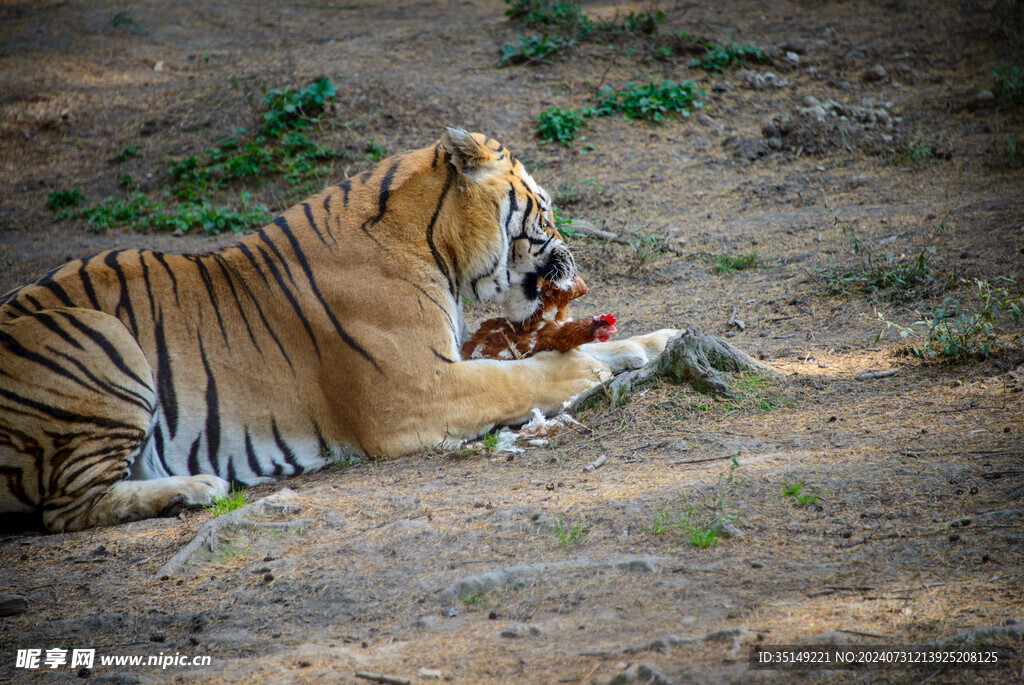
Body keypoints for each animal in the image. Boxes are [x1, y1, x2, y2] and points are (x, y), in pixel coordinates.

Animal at [2, 129, 679, 532]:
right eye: (546, 210)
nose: (574, 259)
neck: (434, 244)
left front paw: (661, 341)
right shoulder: (417, 390)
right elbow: (523, 376)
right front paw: (585, 367)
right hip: (101, 338)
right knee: (63, 508)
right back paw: (195, 489)